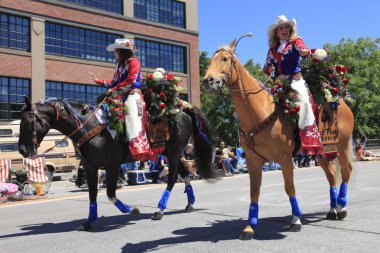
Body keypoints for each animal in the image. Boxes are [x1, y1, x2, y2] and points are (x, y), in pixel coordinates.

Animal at [17, 97, 215, 231]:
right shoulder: (90, 166)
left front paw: (132, 210)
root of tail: (184, 108)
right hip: (170, 153)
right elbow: (92, 194)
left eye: (27, 122)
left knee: (173, 178)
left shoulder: (112, 165)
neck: (91, 128)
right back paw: (189, 204)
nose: (22, 150)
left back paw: (159, 209)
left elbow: (110, 194)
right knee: (184, 174)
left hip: (173, 152)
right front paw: (88, 221)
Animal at [203, 39, 354, 239]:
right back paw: (332, 210)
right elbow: (254, 192)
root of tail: (341, 101)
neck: (260, 112)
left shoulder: (284, 158)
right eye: (211, 59)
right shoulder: (253, 161)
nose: (208, 81)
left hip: (342, 146)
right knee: (330, 174)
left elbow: (289, 187)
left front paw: (296, 220)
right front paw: (249, 227)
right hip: (320, 152)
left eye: (225, 59)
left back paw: (342, 207)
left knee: (345, 171)